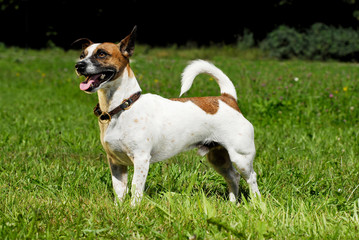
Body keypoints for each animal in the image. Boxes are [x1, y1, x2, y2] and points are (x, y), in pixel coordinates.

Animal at [75, 26, 262, 206]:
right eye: (82, 55)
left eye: (102, 54)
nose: (78, 65)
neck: (122, 107)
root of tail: (227, 98)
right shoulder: (116, 163)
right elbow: (119, 191)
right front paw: (119, 210)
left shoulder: (141, 160)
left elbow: (136, 189)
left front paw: (133, 210)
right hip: (218, 157)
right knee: (233, 176)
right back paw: (233, 203)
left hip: (241, 157)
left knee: (251, 178)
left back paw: (256, 204)